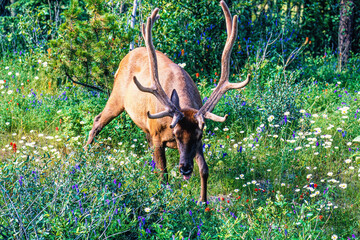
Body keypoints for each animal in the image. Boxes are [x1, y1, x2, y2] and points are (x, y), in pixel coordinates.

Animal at [85, 0, 250, 202]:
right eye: (176, 133)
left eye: (199, 135)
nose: (185, 168)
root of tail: (126, 56)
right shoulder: (158, 136)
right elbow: (164, 175)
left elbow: (204, 169)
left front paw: (203, 201)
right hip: (116, 98)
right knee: (97, 121)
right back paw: (84, 156)